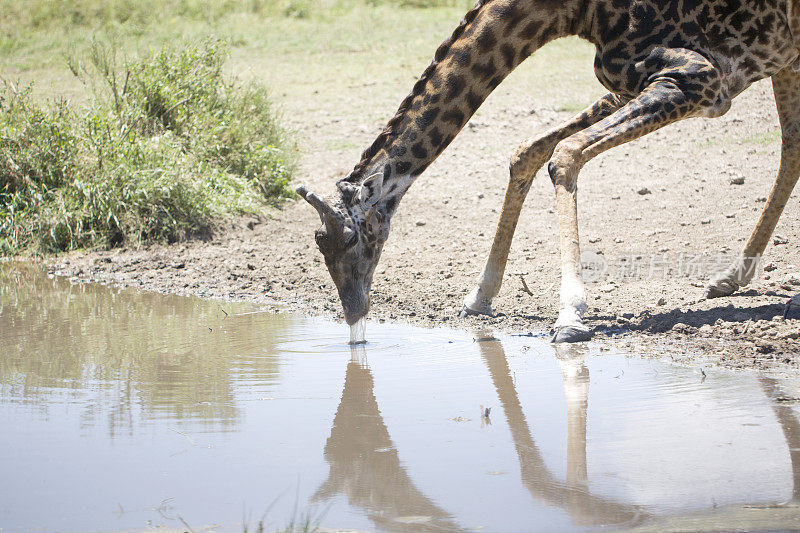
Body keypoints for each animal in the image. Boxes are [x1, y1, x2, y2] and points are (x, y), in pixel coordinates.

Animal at [296, 0, 800, 340]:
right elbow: (528, 151)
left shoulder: (696, 78)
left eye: (350, 239)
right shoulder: (633, 84)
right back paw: (732, 277)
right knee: (792, 145)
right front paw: (479, 297)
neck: (575, 12)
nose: (354, 316)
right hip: (786, 54)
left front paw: (571, 316)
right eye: (320, 244)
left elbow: (566, 153)